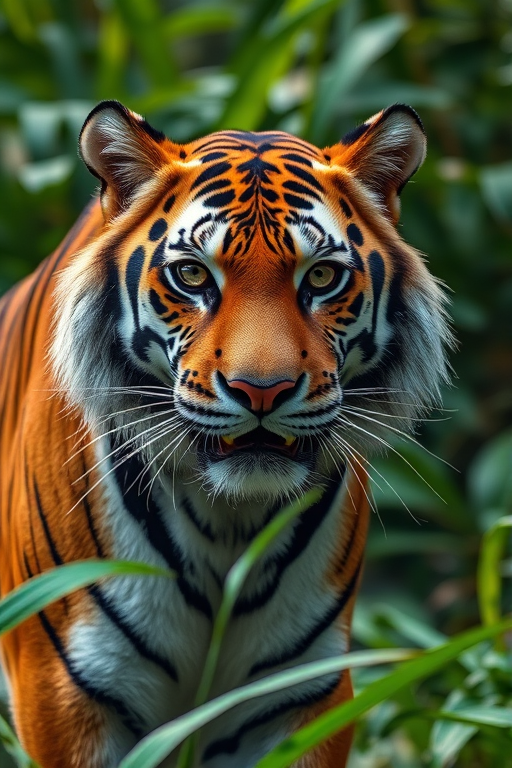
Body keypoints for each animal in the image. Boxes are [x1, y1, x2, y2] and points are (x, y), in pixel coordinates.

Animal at [0, 100, 450, 768]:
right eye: (191, 275)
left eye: (321, 277)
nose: (261, 390)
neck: (229, 524)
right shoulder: (68, 690)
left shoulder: (301, 694)